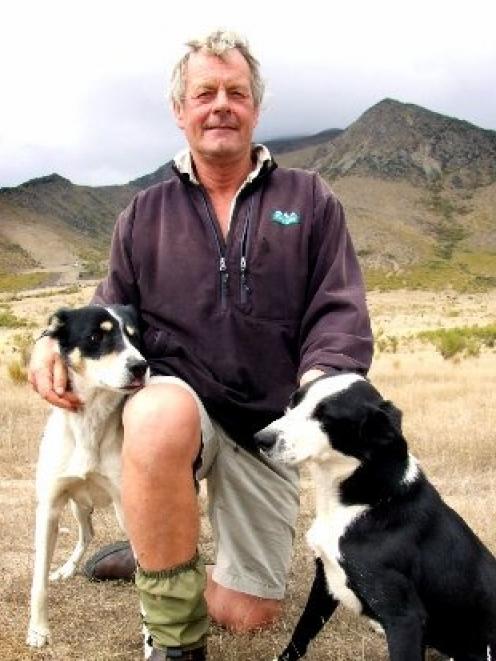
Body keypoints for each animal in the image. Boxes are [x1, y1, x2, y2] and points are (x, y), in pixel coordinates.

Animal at [27, 306, 147, 648]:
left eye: (134, 336)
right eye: (96, 336)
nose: (140, 367)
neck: (90, 423)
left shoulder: (129, 505)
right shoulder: (50, 507)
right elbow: (38, 580)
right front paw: (38, 630)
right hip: (77, 504)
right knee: (87, 534)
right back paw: (66, 570)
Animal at [256, 372, 496, 660]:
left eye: (326, 417)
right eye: (293, 402)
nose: (261, 439)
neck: (367, 500)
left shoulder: (404, 617)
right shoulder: (324, 581)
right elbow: (301, 633)